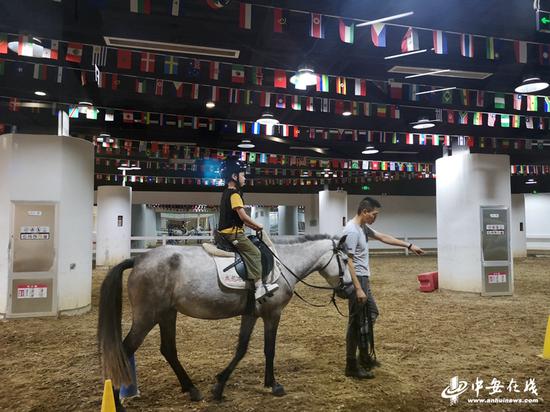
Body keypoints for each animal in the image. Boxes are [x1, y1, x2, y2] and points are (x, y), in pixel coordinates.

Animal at [98, 233, 350, 408]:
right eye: (346, 260)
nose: (347, 290)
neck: (284, 263)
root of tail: (139, 260)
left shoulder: (251, 314)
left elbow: (241, 348)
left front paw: (219, 386)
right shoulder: (273, 314)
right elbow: (269, 349)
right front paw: (273, 385)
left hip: (167, 313)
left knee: (168, 349)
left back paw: (192, 390)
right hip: (147, 316)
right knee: (125, 350)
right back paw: (118, 402)